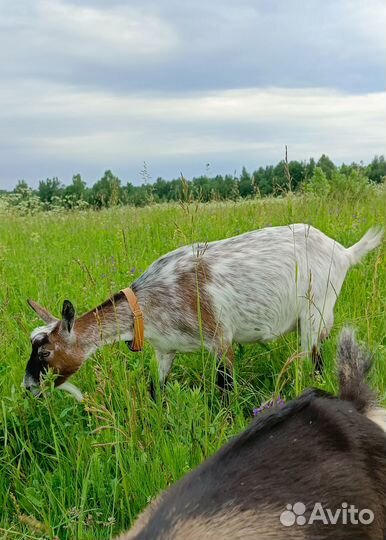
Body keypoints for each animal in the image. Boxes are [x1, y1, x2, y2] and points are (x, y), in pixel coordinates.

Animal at [22, 224, 382, 396]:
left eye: (46, 353)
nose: (28, 387)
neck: (149, 302)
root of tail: (344, 253)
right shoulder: (165, 349)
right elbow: (156, 388)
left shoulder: (220, 338)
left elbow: (226, 389)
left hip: (314, 312)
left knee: (315, 361)